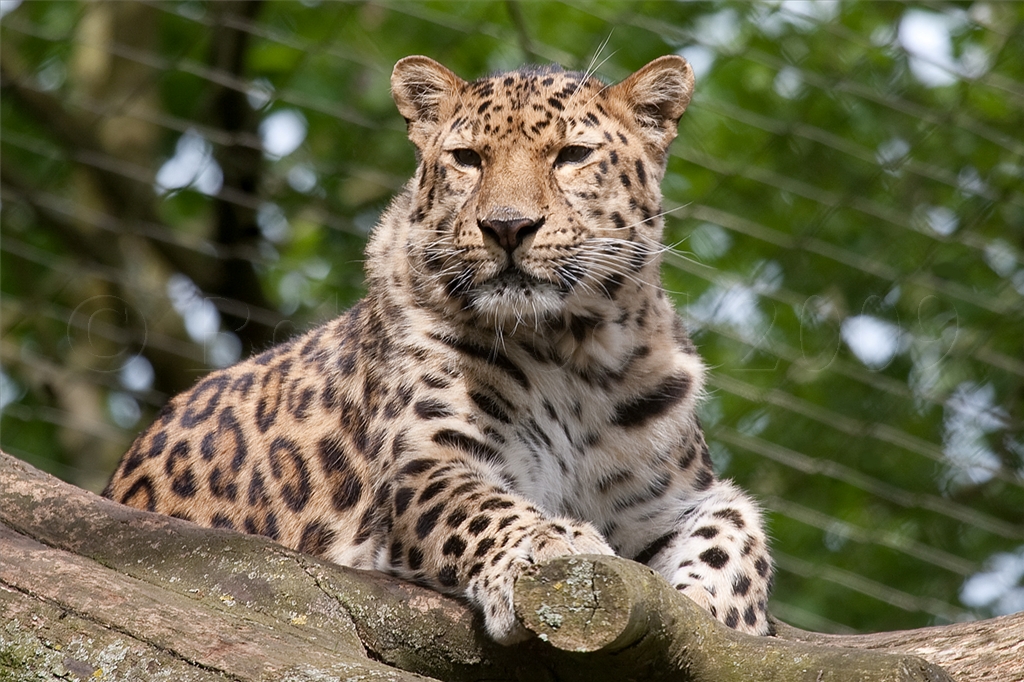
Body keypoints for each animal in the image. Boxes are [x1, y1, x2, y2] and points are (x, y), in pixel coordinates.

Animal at [104, 55, 774, 643]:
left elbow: (737, 529)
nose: (507, 226)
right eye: (467, 159)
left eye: (573, 156)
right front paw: (552, 546)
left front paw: (720, 615)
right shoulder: (426, 464)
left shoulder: (672, 497)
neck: (575, 350)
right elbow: (482, 507)